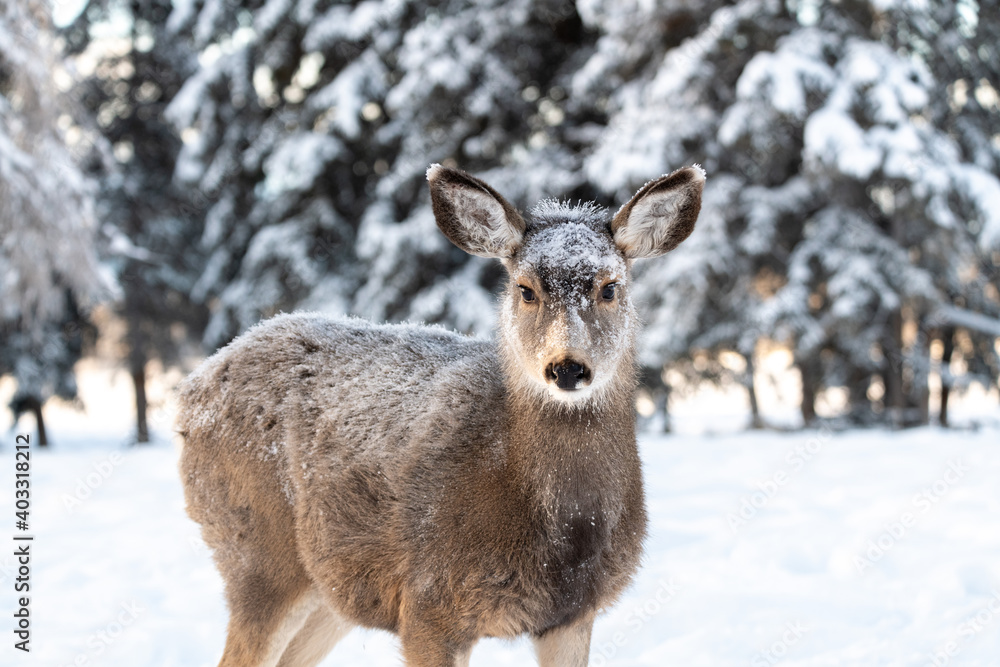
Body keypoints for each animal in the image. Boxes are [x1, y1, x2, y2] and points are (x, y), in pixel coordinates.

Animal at [176, 163, 704, 667]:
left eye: (610, 287)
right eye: (525, 289)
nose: (568, 368)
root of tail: (192, 391)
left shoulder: (572, 614)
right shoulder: (430, 601)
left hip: (333, 587)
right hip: (257, 551)